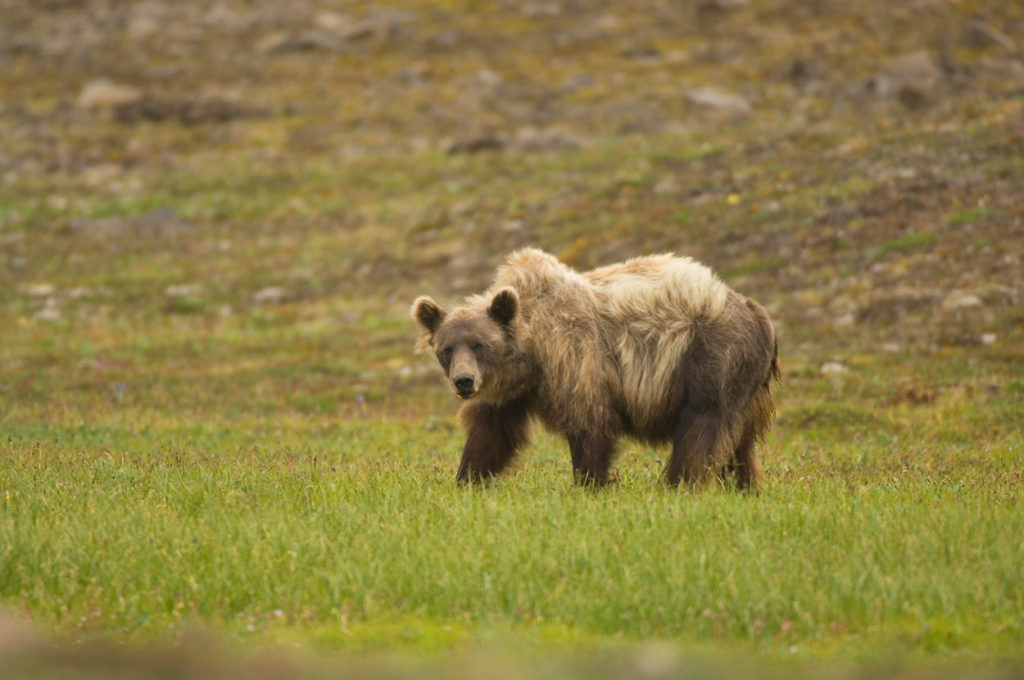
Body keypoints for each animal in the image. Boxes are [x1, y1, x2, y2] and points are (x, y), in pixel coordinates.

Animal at [409, 248, 774, 489]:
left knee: (701, 426)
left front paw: (590, 483)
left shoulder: (576, 358)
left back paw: (679, 484)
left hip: (710, 356)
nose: (464, 381)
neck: (532, 355)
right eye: (447, 349)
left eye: (480, 345)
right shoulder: (509, 393)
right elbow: (491, 435)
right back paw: (745, 486)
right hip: (748, 388)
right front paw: (467, 479)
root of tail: (757, 312)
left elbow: (589, 422)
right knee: (740, 442)